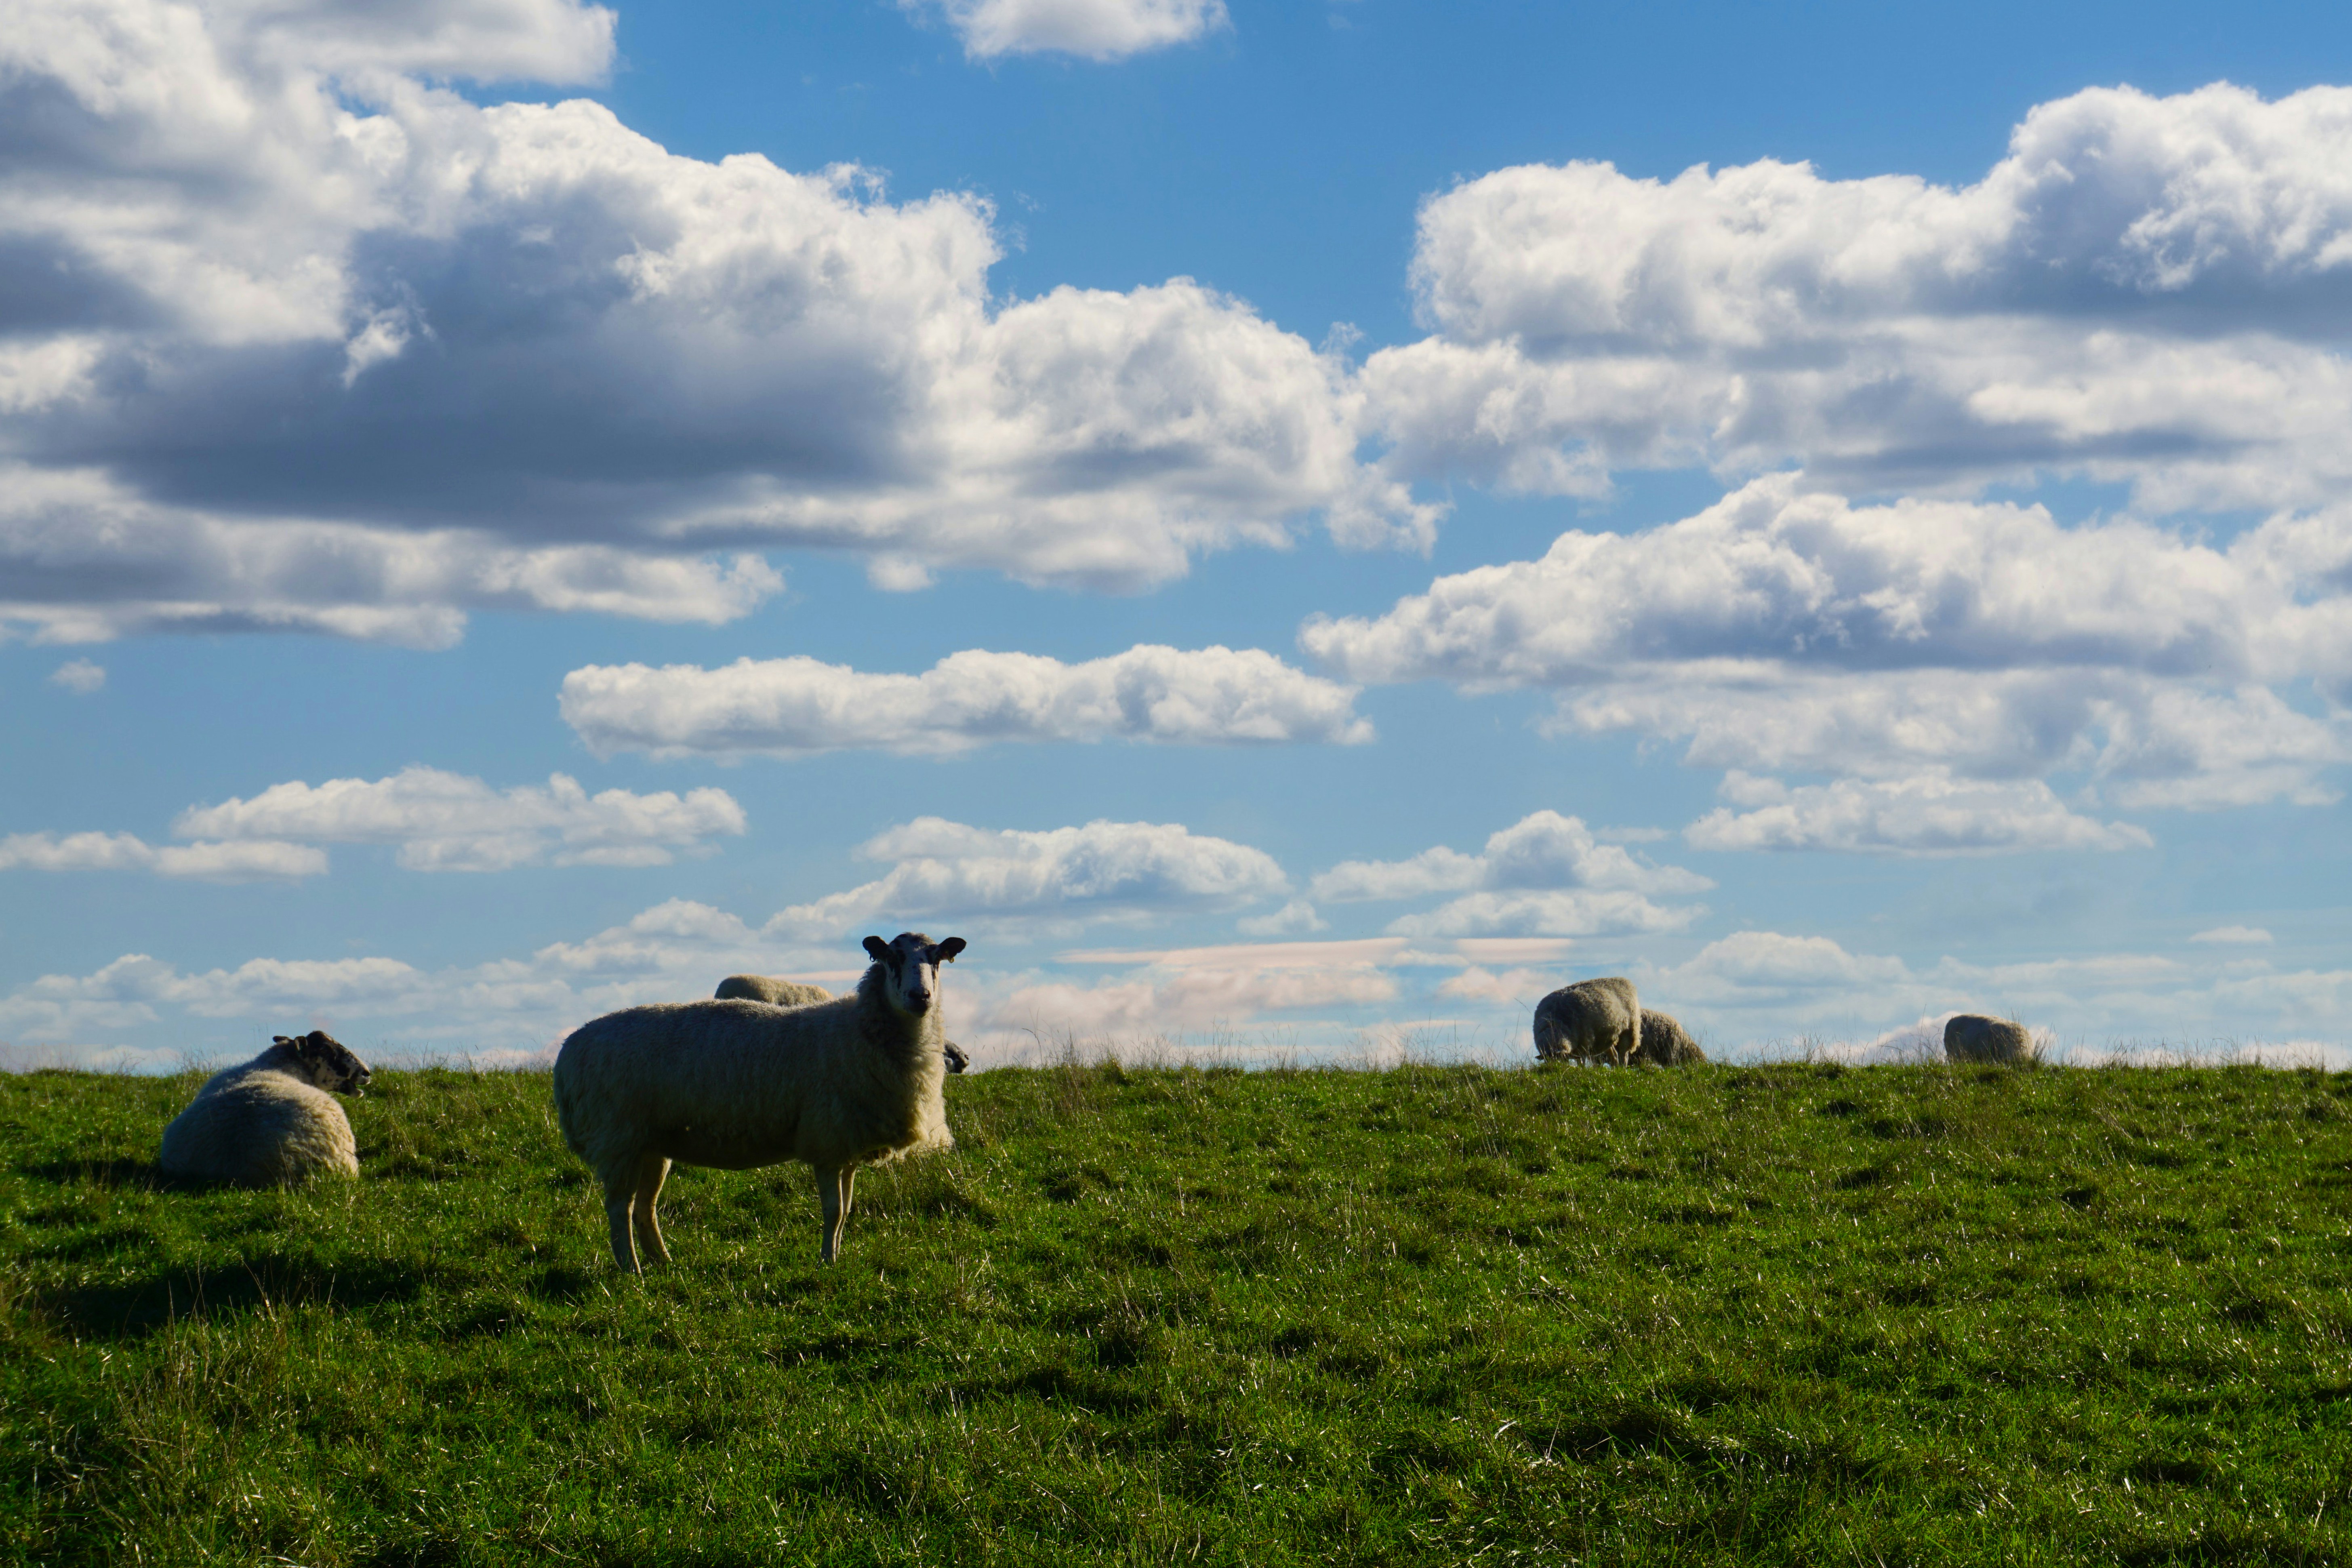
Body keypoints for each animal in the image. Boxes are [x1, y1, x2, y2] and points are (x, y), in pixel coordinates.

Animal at [1533, 977, 1641, 1065]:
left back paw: (1622, 1070)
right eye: (1548, 1062)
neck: (1554, 1025)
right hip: (1607, 1038)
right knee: (1614, 1056)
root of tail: (1625, 981)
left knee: (1624, 1055)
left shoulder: (1584, 1044)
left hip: (1630, 1030)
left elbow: (1582, 1063)